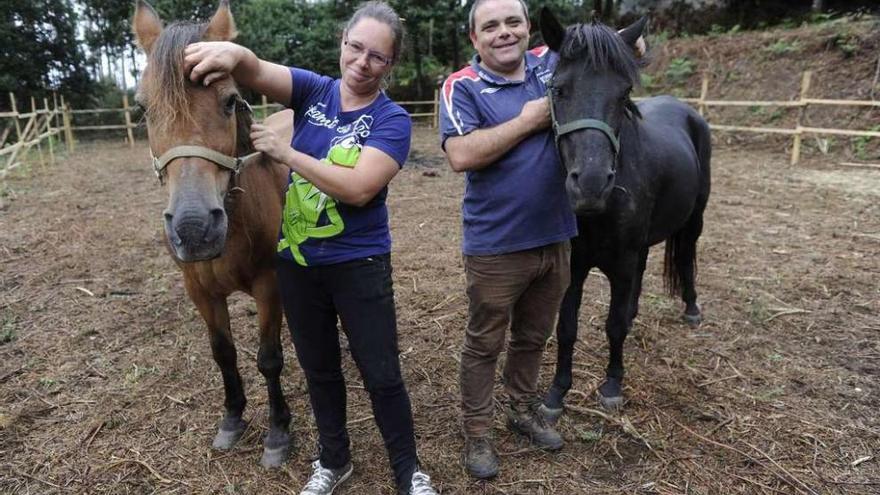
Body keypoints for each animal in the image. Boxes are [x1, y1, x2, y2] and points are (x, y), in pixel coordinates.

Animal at [132, 0, 292, 466]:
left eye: (229, 102)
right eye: (143, 110)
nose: (194, 228)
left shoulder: (269, 283)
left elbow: (269, 358)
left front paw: (278, 432)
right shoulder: (200, 290)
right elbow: (223, 352)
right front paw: (232, 418)